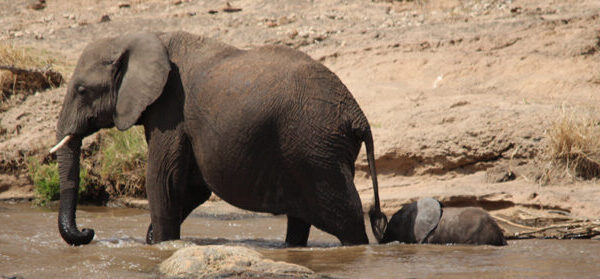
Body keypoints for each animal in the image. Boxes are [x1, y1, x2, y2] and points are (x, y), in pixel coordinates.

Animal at [52, 31, 390, 247]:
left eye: (81, 90)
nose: (89, 231)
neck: (139, 36)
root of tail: (358, 115)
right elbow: (191, 186)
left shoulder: (170, 109)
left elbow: (164, 180)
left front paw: (159, 246)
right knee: (302, 217)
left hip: (316, 149)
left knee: (345, 216)